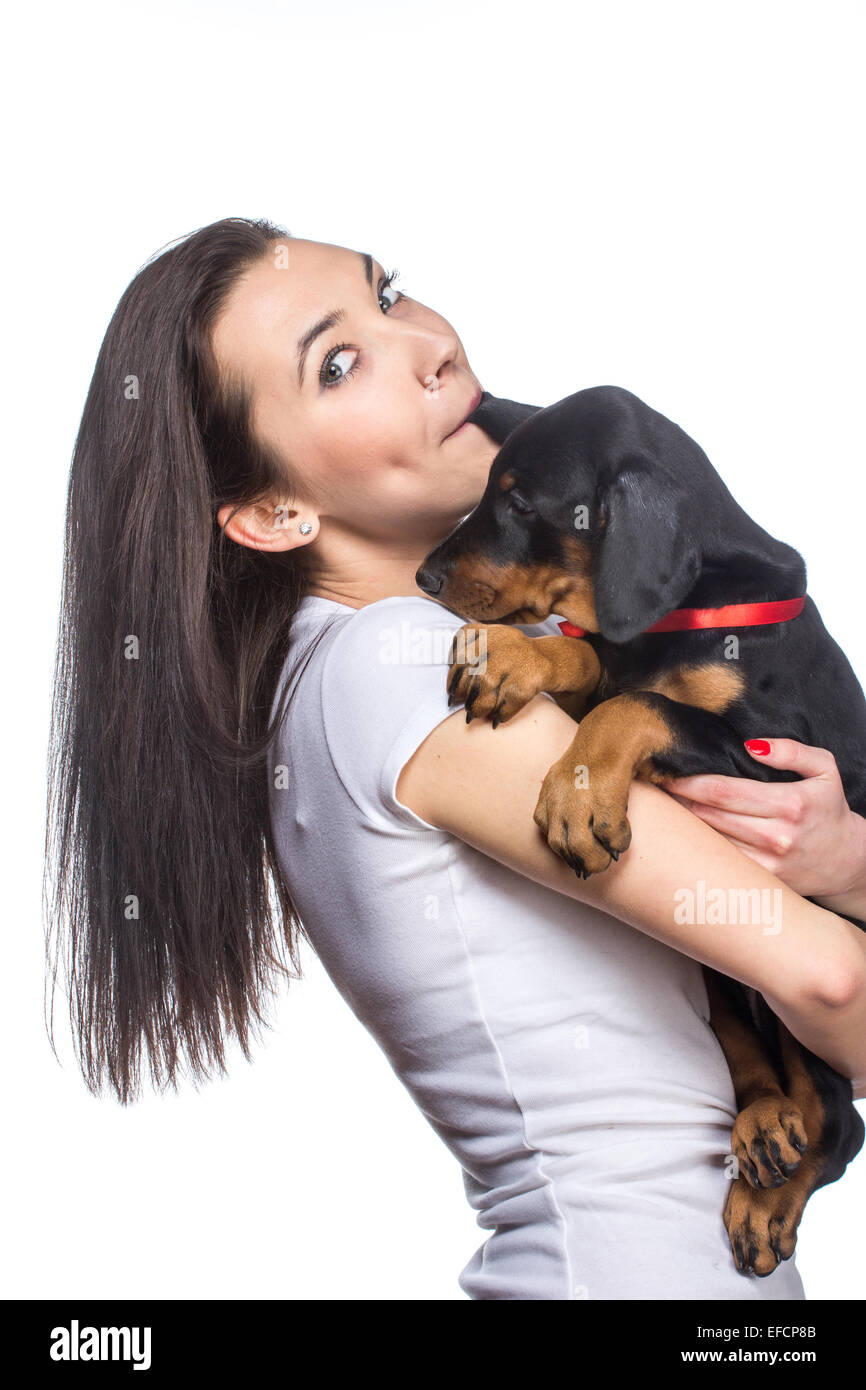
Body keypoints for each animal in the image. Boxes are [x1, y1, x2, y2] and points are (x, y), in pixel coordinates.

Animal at [417, 386, 861, 1273]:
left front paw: (576, 796)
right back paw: (765, 1123)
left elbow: (643, 701)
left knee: (839, 1113)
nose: (423, 575)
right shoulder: (619, 661)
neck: (687, 613)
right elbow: (600, 666)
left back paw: (771, 1197)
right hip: (720, 974)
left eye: (520, 502)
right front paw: (515, 657)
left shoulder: (782, 770)